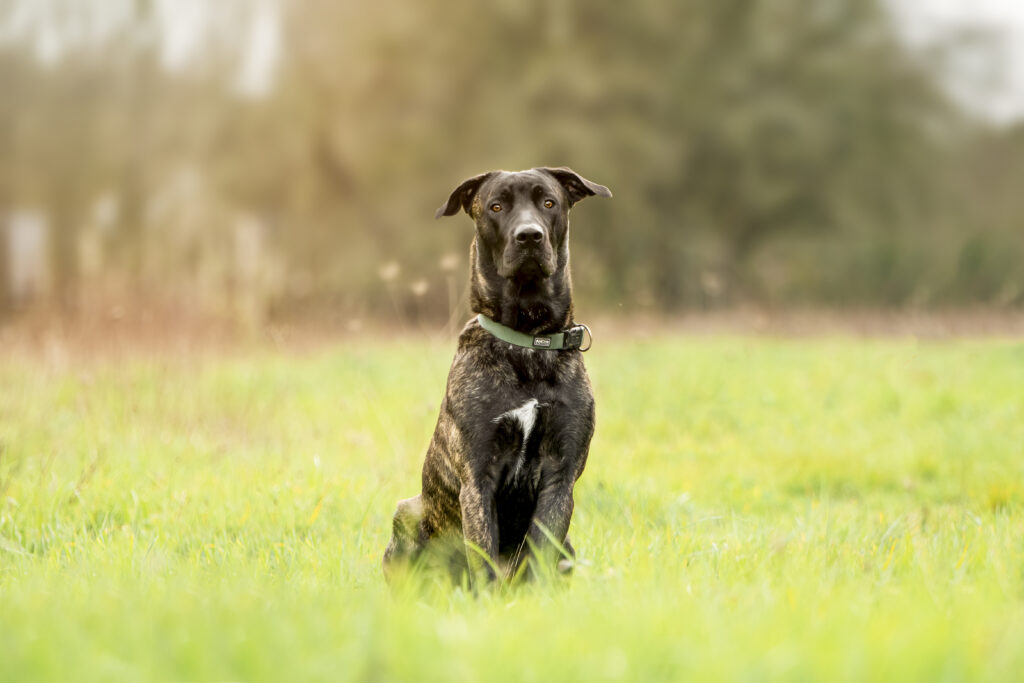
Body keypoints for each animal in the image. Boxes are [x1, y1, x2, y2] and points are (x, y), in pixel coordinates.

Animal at [382, 166, 606, 589]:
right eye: (496, 206)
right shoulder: (478, 475)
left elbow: (539, 554)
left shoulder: (560, 474)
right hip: (408, 512)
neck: (528, 342)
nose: (529, 236)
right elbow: (482, 555)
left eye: (548, 202)